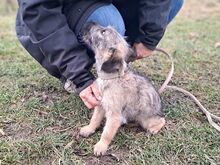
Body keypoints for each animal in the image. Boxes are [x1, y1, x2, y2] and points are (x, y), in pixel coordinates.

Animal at [79, 22, 165, 156]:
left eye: (103, 32)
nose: (89, 22)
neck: (110, 78)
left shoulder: (114, 116)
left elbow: (107, 133)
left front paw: (101, 146)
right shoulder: (100, 105)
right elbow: (95, 120)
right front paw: (89, 129)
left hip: (147, 120)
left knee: (162, 120)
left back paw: (153, 129)